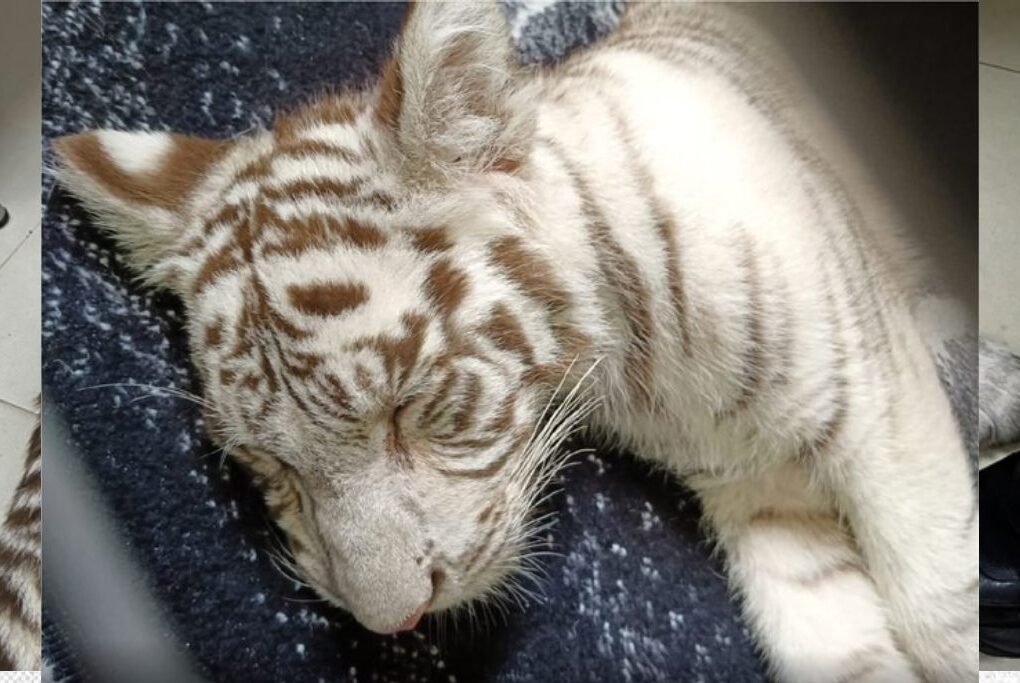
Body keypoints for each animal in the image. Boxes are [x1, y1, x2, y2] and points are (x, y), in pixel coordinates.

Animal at [52, 3, 978, 681]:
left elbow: (941, 608)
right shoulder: (761, 493)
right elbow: (846, 649)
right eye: (267, 463)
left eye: (406, 406)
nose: (397, 617)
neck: (639, 371)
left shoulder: (887, 415)